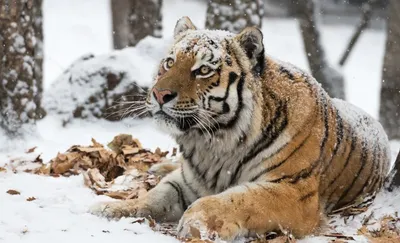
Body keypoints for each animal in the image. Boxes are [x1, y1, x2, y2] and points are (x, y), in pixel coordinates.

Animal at [90, 16, 390, 241]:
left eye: (203, 70)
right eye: (170, 62)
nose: (159, 94)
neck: (215, 144)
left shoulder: (294, 191)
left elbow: (239, 199)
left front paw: (196, 221)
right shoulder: (188, 180)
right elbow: (154, 197)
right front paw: (108, 208)